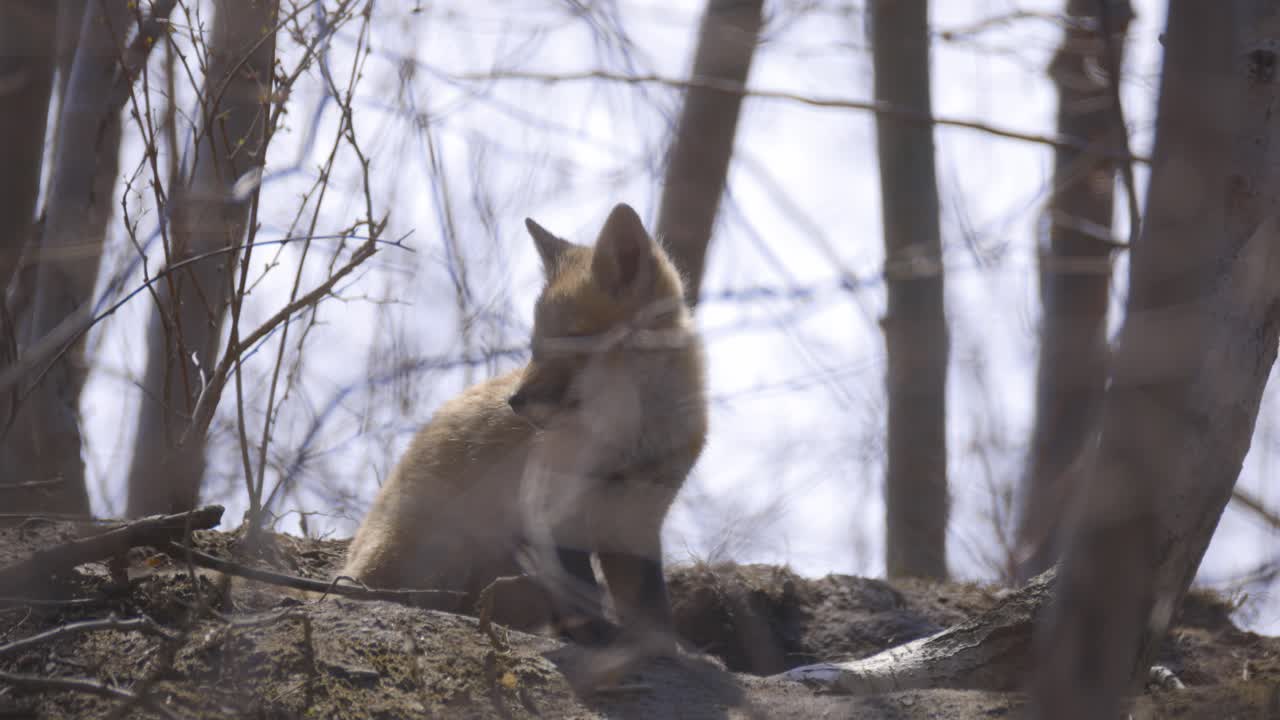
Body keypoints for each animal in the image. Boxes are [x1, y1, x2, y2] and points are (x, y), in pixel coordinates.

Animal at [340, 203, 707, 658]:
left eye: (571, 341)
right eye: (535, 346)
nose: (514, 402)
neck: (631, 438)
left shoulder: (635, 518)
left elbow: (650, 605)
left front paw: (660, 650)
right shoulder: (553, 508)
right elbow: (582, 596)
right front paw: (599, 639)